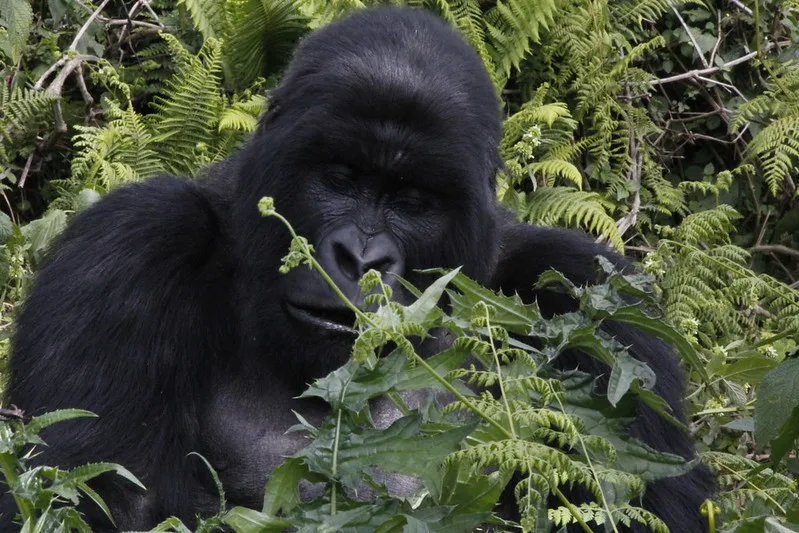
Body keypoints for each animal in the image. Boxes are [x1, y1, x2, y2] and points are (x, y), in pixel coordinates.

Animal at [0, 5, 712, 532]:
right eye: (340, 178)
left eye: (412, 201)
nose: (362, 259)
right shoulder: (127, 250)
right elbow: (89, 497)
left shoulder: (594, 293)